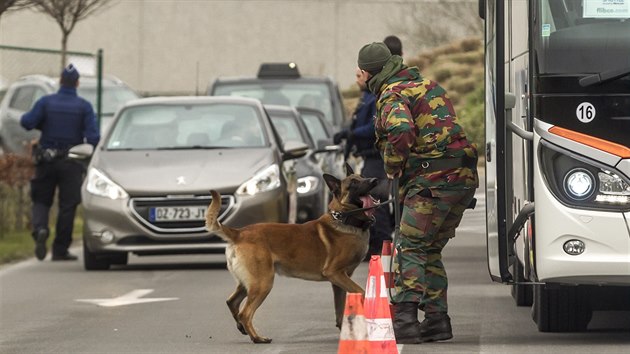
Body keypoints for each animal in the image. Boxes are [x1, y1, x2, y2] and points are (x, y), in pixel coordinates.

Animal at [206, 165, 380, 342]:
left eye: (362, 176)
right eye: (353, 183)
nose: (375, 180)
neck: (344, 219)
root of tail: (239, 233)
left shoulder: (339, 281)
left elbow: (340, 310)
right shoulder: (335, 274)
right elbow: (362, 292)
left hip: (249, 282)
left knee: (232, 302)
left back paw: (243, 328)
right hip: (263, 283)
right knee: (245, 313)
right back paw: (257, 338)